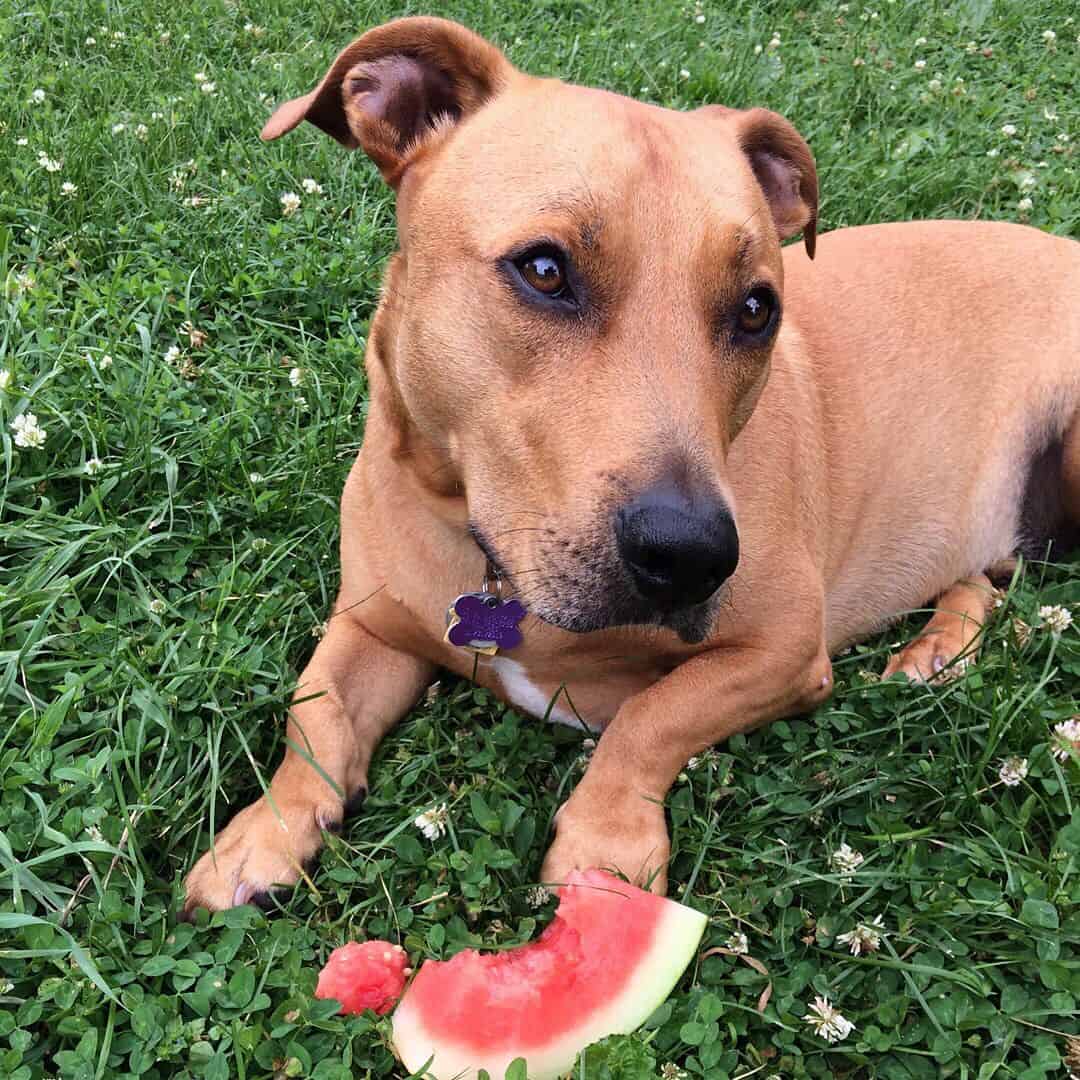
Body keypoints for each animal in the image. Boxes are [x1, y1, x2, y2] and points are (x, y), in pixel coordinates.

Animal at [179, 16, 1080, 911]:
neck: (487, 559)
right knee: (989, 572)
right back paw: (941, 644)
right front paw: (269, 828)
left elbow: (655, 716)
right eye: (545, 269)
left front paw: (606, 840)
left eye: (757, 309)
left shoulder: (783, 647)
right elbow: (314, 710)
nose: (692, 558)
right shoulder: (368, 621)